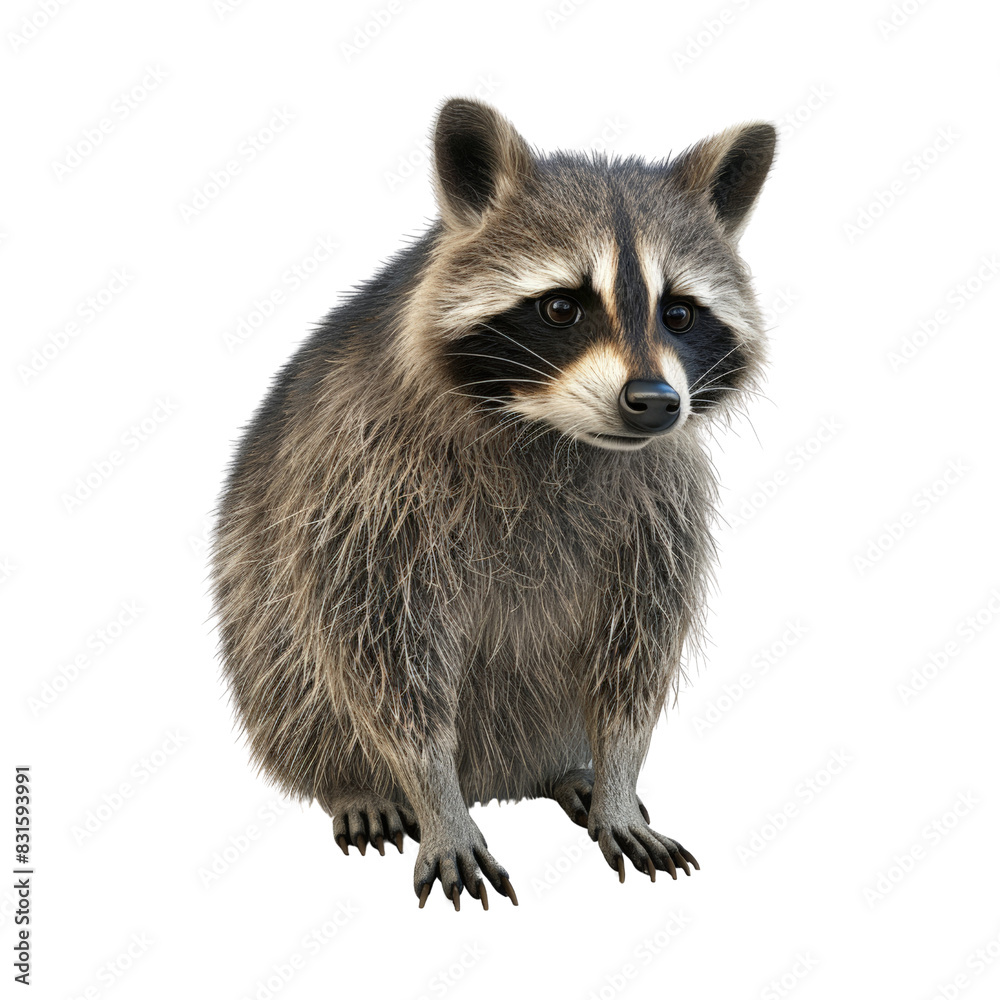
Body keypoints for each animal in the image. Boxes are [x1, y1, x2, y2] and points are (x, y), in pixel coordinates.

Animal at [212, 98, 776, 910]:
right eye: (561, 307)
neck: (553, 430)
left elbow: (637, 652)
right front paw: (433, 794)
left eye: (680, 314)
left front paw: (618, 770)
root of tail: (501, 776)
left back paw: (577, 773)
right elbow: (382, 651)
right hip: (260, 623)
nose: (654, 402)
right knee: (292, 669)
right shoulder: (366, 478)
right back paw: (355, 783)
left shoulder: (661, 500)